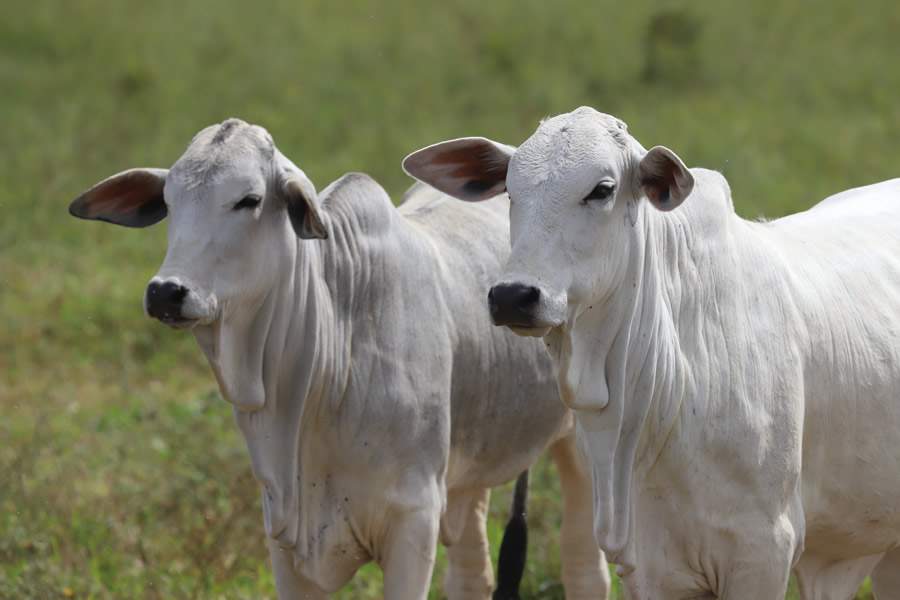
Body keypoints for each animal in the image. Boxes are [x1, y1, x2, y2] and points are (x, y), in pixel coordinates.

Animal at [70, 119, 612, 596]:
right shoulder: (283, 532)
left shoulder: (413, 521)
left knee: (584, 566)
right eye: (168, 202)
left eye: (249, 200)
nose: (166, 291)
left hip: (581, 447)